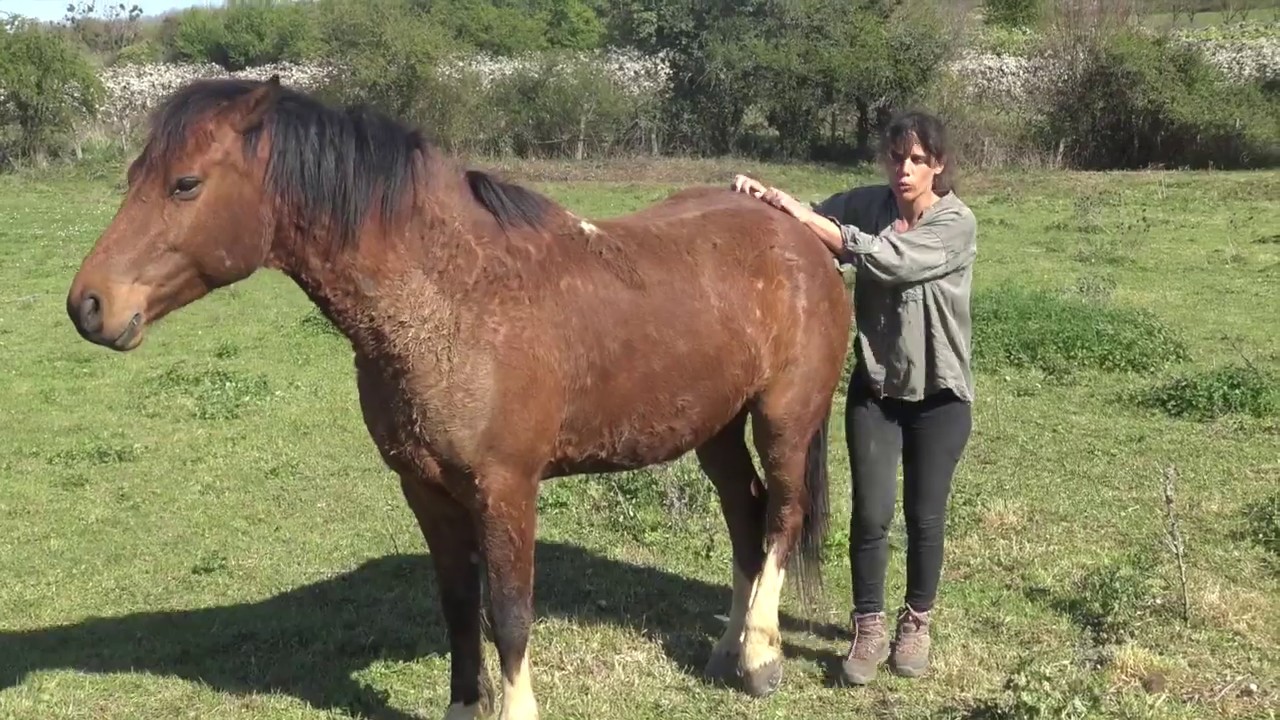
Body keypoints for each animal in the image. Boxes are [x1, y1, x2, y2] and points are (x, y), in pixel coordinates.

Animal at [65, 75, 852, 720]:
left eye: (185, 184)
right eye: (136, 175)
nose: (89, 305)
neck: (453, 299)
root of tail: (799, 236)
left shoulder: (505, 489)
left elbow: (508, 613)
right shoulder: (427, 490)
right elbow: (457, 608)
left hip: (784, 419)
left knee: (781, 518)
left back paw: (760, 658)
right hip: (714, 428)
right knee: (745, 519)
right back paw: (727, 652)